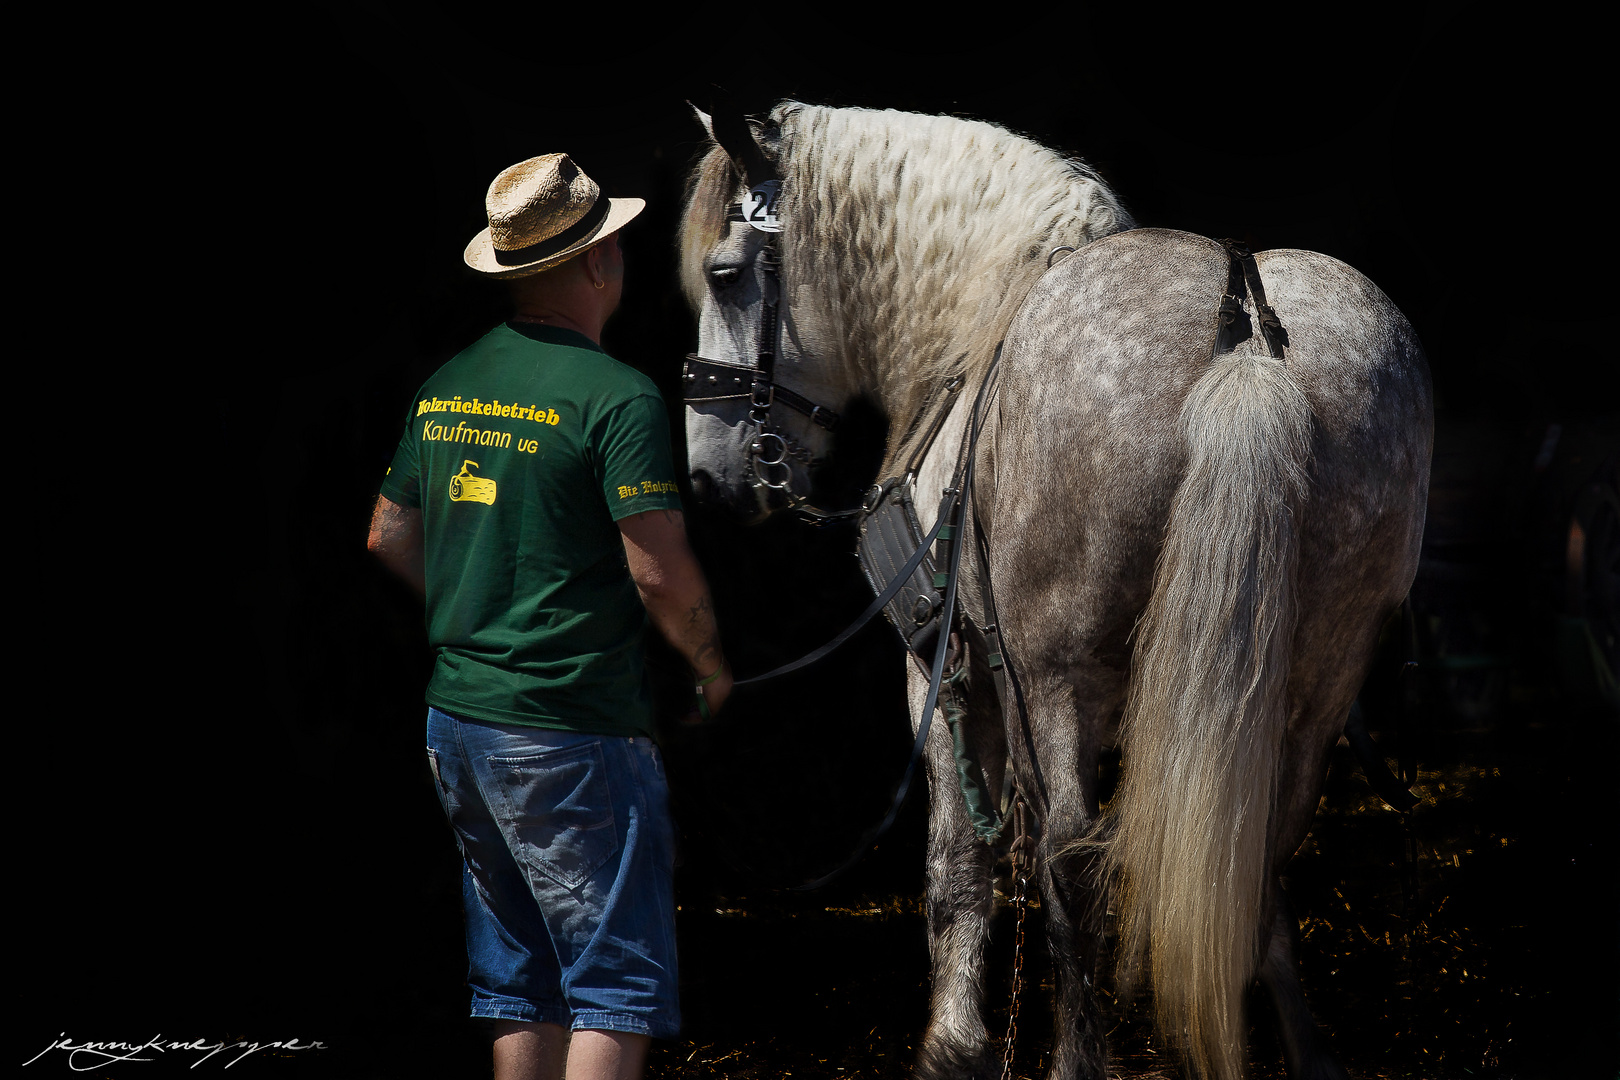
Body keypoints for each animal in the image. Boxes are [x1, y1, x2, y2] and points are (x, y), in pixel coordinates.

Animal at [677, 103, 1438, 1080]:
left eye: (726, 274)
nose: (708, 476)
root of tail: (1246, 329)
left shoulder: (946, 679)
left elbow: (959, 864)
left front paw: (953, 1045)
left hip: (1057, 679)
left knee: (1069, 854)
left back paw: (1077, 1057)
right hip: (1316, 684)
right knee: (1258, 851)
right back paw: (1303, 1051)